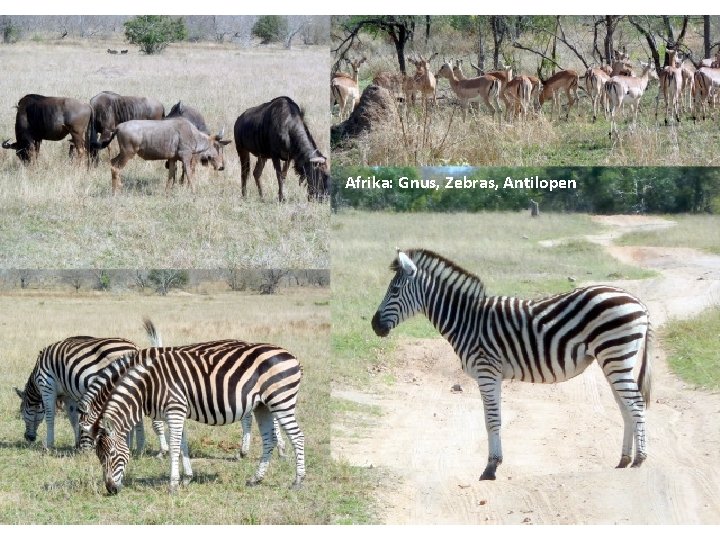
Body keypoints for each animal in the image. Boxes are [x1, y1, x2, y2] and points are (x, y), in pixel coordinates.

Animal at [15, 320, 163, 452]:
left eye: (23, 411)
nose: (28, 438)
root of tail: (135, 347)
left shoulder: (47, 386)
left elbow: (50, 417)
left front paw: (49, 445)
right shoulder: (68, 395)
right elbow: (73, 418)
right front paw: (77, 443)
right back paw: (137, 448)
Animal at [88, 340, 306, 496]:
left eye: (111, 454)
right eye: (98, 456)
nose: (110, 490)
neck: (148, 386)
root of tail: (292, 356)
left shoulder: (175, 410)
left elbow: (174, 447)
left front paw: (173, 485)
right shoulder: (177, 412)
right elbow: (182, 445)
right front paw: (186, 478)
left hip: (280, 401)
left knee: (298, 437)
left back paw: (298, 481)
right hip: (263, 406)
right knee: (269, 440)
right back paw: (256, 479)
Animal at [372, 249, 652, 480]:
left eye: (394, 290)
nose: (374, 325)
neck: (466, 320)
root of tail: (638, 302)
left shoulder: (486, 371)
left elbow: (492, 420)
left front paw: (490, 468)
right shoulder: (492, 374)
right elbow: (493, 418)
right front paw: (495, 463)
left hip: (615, 354)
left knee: (636, 404)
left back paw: (640, 459)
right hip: (613, 359)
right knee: (625, 406)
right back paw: (624, 459)